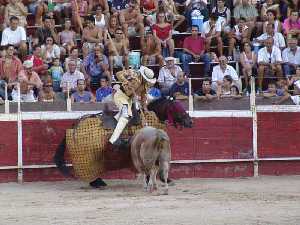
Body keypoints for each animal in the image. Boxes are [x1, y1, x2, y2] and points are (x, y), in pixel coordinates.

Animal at [54, 96, 193, 188]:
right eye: (176, 107)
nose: (190, 122)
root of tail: (75, 125)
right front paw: (163, 179)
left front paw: (166, 179)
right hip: (88, 158)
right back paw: (98, 183)